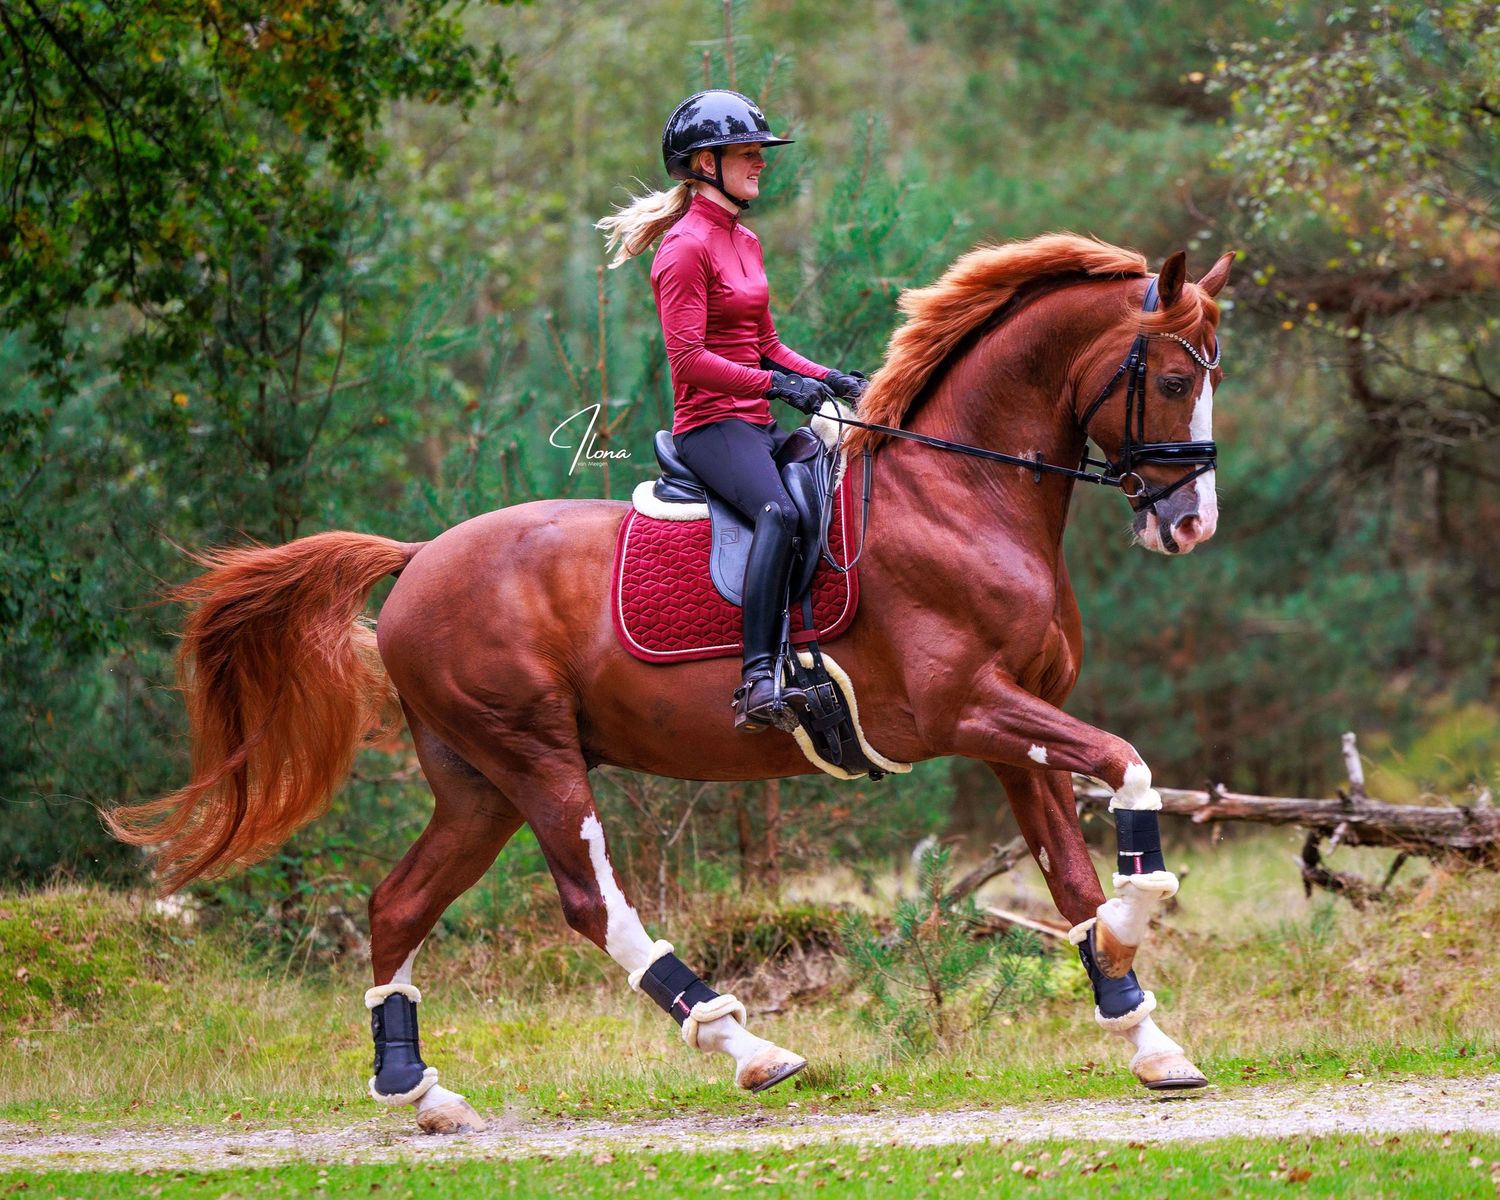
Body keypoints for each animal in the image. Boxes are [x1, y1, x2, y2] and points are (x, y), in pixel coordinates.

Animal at [109, 233, 1234, 1135]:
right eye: (1177, 379)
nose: (1190, 525)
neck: (962, 494)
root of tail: (420, 556)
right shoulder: (965, 711)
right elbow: (1129, 774)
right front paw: (1140, 919)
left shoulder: (1016, 731)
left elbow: (1072, 872)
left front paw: (1145, 1033)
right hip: (534, 756)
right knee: (591, 903)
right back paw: (749, 1049)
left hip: (477, 783)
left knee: (398, 903)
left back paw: (419, 1092)